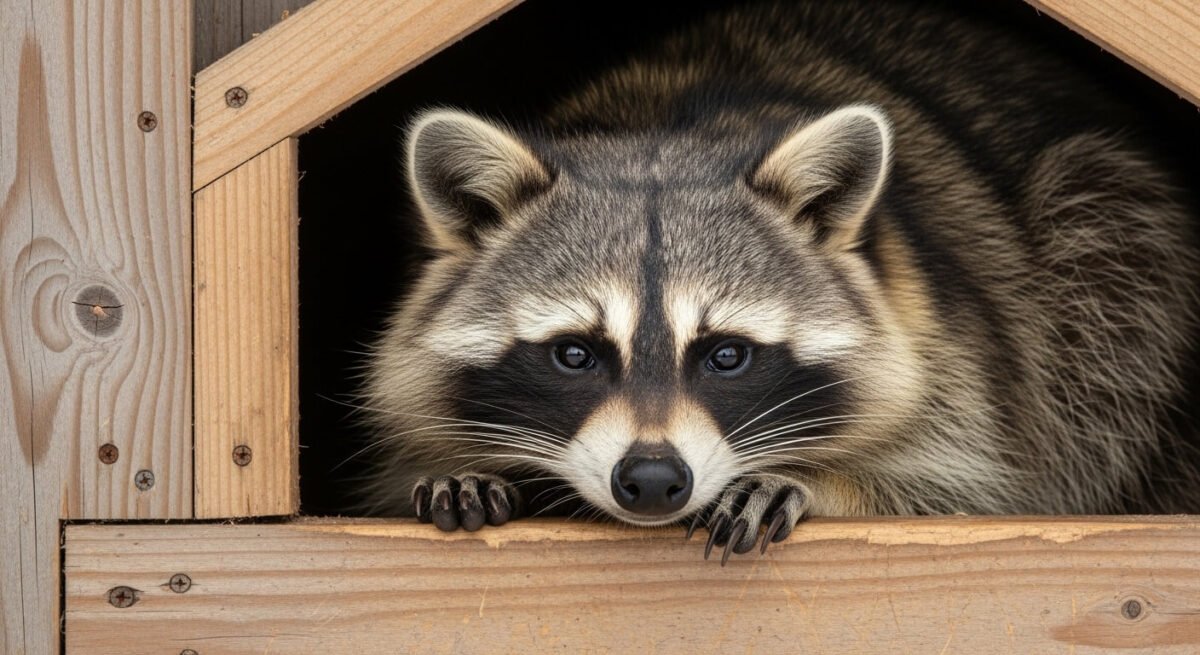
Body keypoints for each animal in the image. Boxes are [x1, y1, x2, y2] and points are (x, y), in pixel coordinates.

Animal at [361, 0, 1200, 561]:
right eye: (575, 353)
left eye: (726, 354)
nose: (654, 479)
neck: (665, 123)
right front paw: (462, 467)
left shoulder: (972, 368)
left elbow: (966, 497)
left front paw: (814, 477)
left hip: (1113, 237)